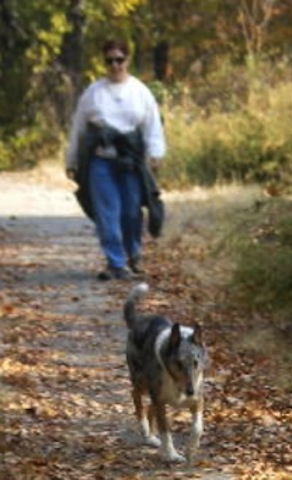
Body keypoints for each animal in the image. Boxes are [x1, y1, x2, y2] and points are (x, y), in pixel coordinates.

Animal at [123, 284, 208, 464]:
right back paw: (146, 432)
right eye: (178, 363)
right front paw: (171, 455)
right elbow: (166, 432)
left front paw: (191, 449)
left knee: (149, 406)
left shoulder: (197, 400)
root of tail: (140, 320)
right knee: (135, 395)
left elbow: (198, 427)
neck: (177, 383)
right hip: (141, 380)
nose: (190, 391)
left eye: (196, 362)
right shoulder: (161, 402)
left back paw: (152, 438)